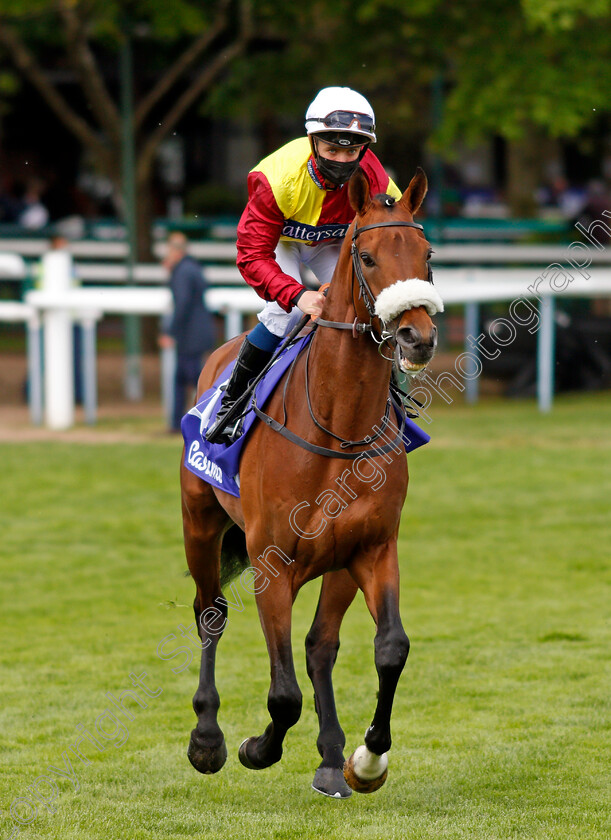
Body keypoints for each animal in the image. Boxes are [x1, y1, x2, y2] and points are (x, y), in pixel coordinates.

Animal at [179, 166, 442, 800]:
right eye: (367, 257)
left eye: (426, 255)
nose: (417, 337)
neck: (338, 428)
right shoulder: (272, 565)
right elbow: (283, 694)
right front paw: (253, 748)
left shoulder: (372, 548)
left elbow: (389, 649)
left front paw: (367, 759)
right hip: (200, 523)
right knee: (209, 612)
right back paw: (207, 737)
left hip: (337, 563)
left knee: (320, 647)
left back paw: (330, 757)